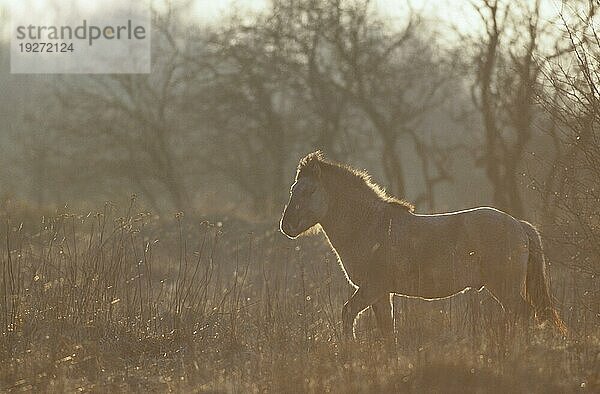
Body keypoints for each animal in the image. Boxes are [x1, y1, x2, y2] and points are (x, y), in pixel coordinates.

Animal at [278, 151, 564, 342]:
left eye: (308, 192)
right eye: (292, 189)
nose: (286, 225)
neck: (370, 226)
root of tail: (518, 224)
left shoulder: (372, 288)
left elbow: (348, 314)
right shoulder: (381, 294)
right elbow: (387, 331)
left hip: (505, 287)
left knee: (525, 315)